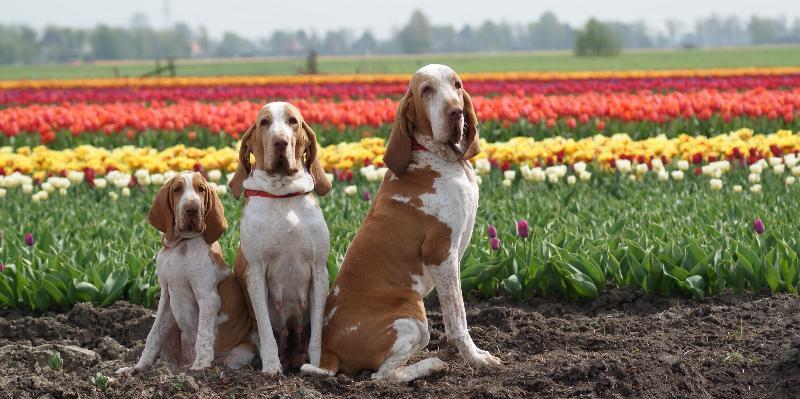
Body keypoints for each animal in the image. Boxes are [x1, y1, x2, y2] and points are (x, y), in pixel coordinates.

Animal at [114, 172, 253, 376]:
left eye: (201, 190)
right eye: (177, 189)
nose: (192, 209)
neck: (182, 245)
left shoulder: (208, 297)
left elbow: (203, 334)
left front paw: (201, 365)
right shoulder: (165, 295)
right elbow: (152, 334)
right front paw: (137, 367)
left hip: (243, 351)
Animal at [230, 101, 332, 376]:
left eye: (292, 122)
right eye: (264, 122)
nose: (280, 142)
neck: (282, 196)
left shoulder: (319, 270)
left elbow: (318, 335)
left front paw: (317, 366)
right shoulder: (256, 272)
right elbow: (267, 332)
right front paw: (271, 367)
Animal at [302, 64, 500, 382]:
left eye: (457, 85)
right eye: (426, 90)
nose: (456, 112)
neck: (439, 158)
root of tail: (329, 351)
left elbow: (456, 311)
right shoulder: (441, 253)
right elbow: (458, 319)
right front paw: (476, 359)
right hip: (412, 318)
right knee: (383, 375)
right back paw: (431, 365)